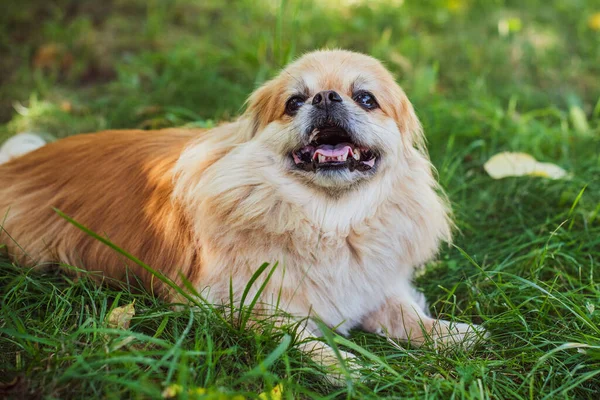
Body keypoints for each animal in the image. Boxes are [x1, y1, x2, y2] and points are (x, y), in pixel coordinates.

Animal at [0, 50, 486, 382]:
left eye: (366, 98)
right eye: (294, 102)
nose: (326, 96)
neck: (328, 220)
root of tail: (16, 163)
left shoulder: (374, 285)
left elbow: (405, 314)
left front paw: (452, 335)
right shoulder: (244, 306)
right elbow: (304, 337)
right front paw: (348, 367)